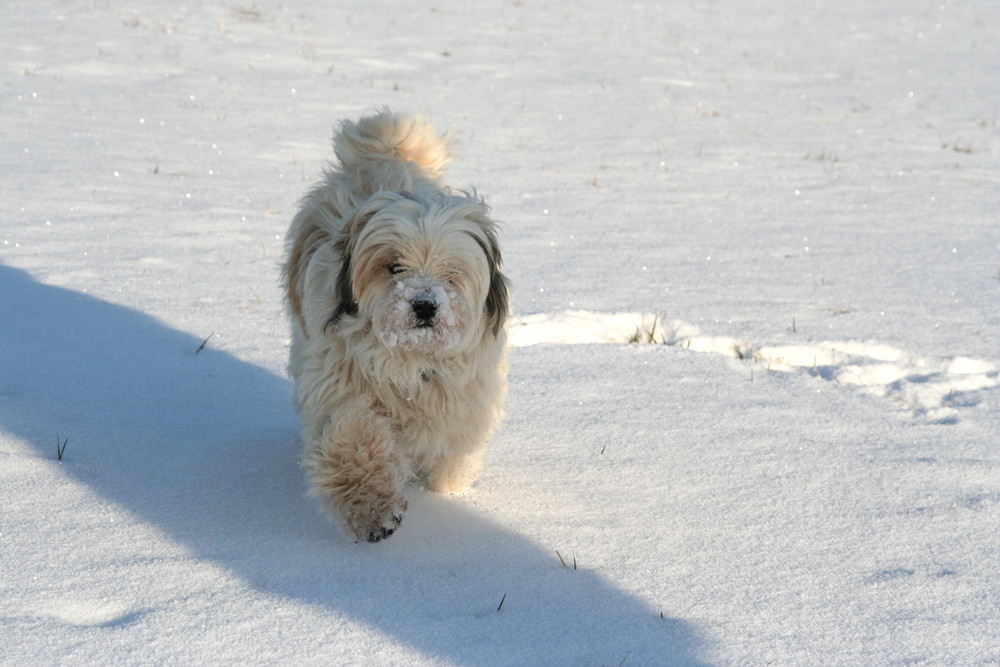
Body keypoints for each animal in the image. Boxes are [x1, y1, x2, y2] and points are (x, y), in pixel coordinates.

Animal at [286, 107, 512, 540]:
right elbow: (354, 437)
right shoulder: (340, 390)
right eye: (393, 267)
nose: (424, 305)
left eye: (451, 272)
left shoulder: (465, 401)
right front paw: (372, 509)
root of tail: (386, 153)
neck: (412, 364)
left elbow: (451, 450)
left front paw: (447, 487)